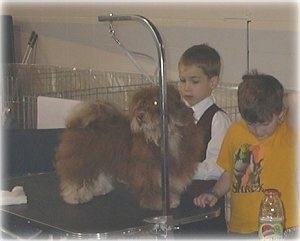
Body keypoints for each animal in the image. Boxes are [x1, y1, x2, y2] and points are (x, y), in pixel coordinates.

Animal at [54, 84, 205, 209]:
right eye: (141, 105)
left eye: (156, 102)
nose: (140, 116)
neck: (166, 137)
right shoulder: (149, 171)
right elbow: (153, 187)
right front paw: (157, 203)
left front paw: (171, 201)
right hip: (81, 159)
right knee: (75, 178)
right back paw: (75, 196)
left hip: (100, 158)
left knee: (98, 174)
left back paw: (100, 189)